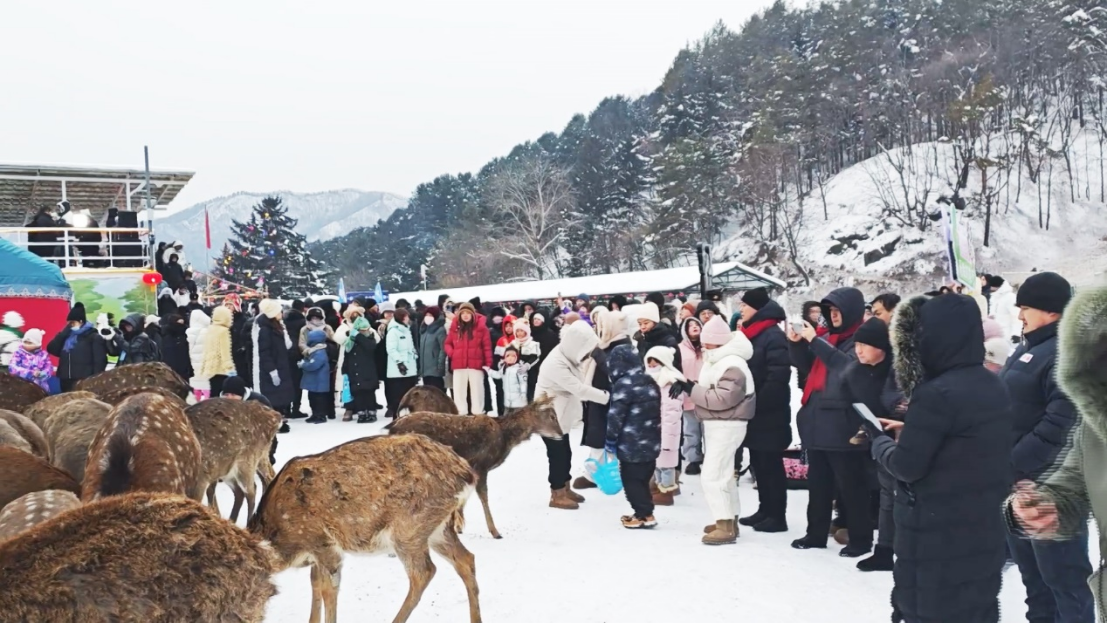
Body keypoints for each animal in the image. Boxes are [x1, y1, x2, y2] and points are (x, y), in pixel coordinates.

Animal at [253, 432, 483, 620]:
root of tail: (468, 474)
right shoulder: (317, 554)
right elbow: (315, 583)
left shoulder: (322, 542)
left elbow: (329, 588)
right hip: (438, 528)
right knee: (466, 559)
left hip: (409, 528)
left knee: (424, 572)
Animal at [390, 396, 562, 538]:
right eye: (552, 416)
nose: (561, 434)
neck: (505, 438)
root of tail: (392, 427)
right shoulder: (481, 465)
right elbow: (483, 496)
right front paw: (495, 531)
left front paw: (458, 526)